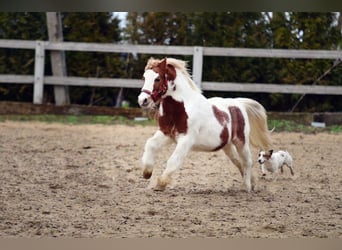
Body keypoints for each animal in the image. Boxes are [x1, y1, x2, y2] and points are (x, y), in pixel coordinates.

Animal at [138, 58, 272, 191]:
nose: (142, 100)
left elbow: (173, 160)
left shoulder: (186, 139)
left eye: (157, 79)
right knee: (238, 161)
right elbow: (150, 144)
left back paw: (247, 187)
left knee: (247, 161)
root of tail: (239, 103)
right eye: (144, 77)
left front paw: (161, 183)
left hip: (241, 141)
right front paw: (147, 172)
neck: (181, 108)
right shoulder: (166, 133)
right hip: (227, 146)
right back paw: (252, 182)